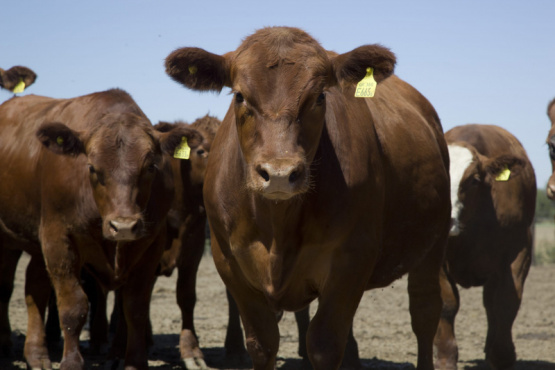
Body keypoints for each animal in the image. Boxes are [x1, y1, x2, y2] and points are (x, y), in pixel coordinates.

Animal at [0, 88, 202, 368]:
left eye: (151, 166)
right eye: (92, 168)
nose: (124, 226)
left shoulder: (151, 242)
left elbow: (135, 307)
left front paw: (135, 361)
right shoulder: (58, 239)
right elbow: (73, 306)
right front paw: (71, 362)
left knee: (34, 287)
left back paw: (37, 355)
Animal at [165, 26, 452, 370]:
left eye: (319, 96)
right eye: (239, 96)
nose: (279, 173)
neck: (278, 227)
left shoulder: (351, 259)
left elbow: (324, 344)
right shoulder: (229, 262)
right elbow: (262, 343)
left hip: (434, 243)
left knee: (425, 311)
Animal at [436, 125, 536, 370]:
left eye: (473, 180)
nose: (446, 220)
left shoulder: (518, 251)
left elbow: (505, 302)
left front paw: (502, 357)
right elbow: (447, 304)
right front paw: (445, 358)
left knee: (492, 304)